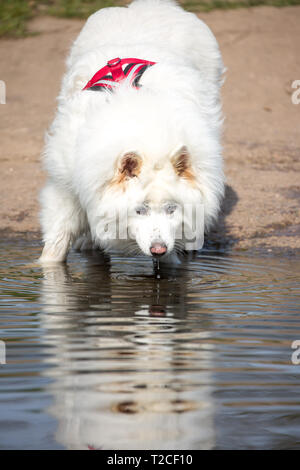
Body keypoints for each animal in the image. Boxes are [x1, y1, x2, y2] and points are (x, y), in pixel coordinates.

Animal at [39, 0, 225, 264]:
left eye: (171, 209)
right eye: (140, 210)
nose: (158, 249)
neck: (150, 137)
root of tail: (151, 5)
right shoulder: (65, 187)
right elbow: (57, 240)